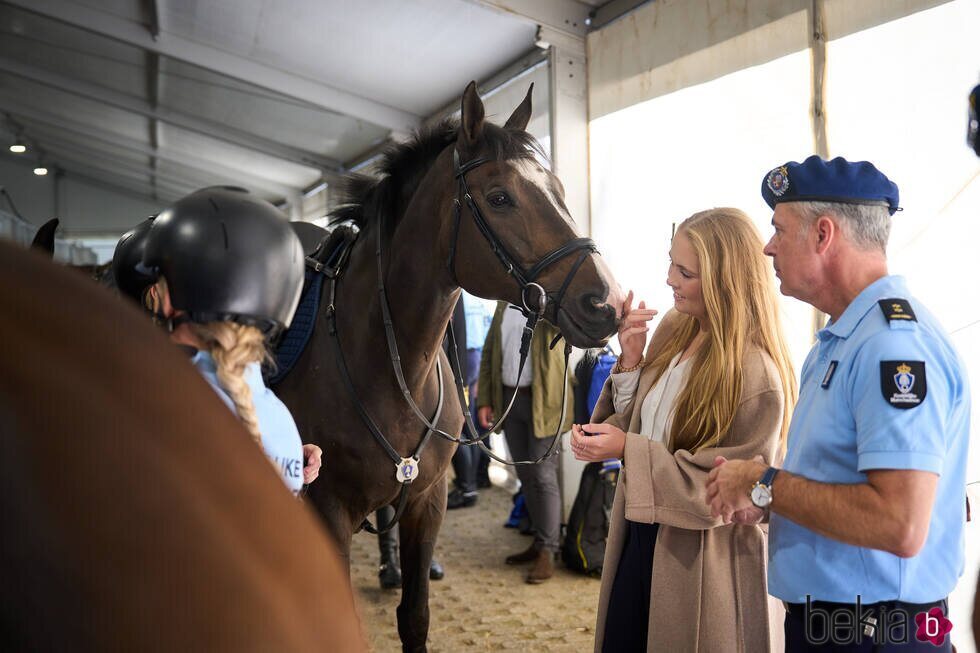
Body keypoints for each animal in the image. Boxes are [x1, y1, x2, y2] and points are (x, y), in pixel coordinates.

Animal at [272, 81, 620, 648]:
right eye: (500, 197)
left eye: (559, 190)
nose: (607, 302)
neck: (387, 362)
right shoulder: (327, 511)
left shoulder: (426, 500)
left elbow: (415, 616)